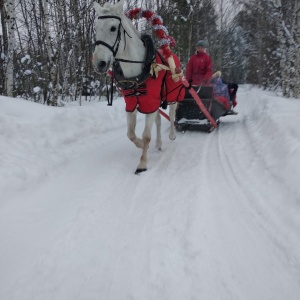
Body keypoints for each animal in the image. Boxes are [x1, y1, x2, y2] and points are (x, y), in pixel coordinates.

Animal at [92, 0, 179, 173]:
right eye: (96, 28)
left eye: (113, 28)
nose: (99, 63)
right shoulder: (133, 103)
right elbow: (131, 134)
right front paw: (140, 144)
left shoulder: (150, 102)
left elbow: (146, 135)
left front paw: (142, 163)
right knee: (159, 121)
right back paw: (158, 143)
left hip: (173, 95)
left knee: (172, 115)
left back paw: (172, 134)